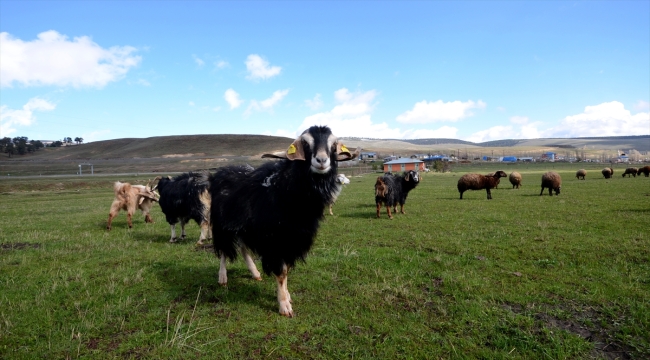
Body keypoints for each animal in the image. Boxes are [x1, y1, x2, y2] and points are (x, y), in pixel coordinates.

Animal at [210, 125, 356, 316]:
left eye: (333, 145)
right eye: (305, 143)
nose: (322, 160)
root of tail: (222, 170)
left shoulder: (291, 241)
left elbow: (286, 272)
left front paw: (286, 295)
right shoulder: (275, 241)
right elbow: (281, 272)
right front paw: (284, 305)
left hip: (243, 226)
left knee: (242, 248)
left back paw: (255, 273)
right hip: (222, 225)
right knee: (223, 250)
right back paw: (222, 277)